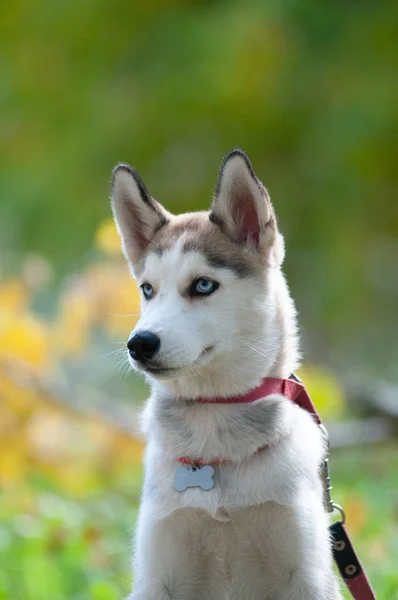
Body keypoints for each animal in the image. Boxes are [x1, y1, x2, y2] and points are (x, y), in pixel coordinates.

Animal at [110, 151, 344, 600]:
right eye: (147, 289)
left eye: (203, 285)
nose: (139, 343)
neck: (214, 420)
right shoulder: (156, 573)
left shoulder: (307, 574)